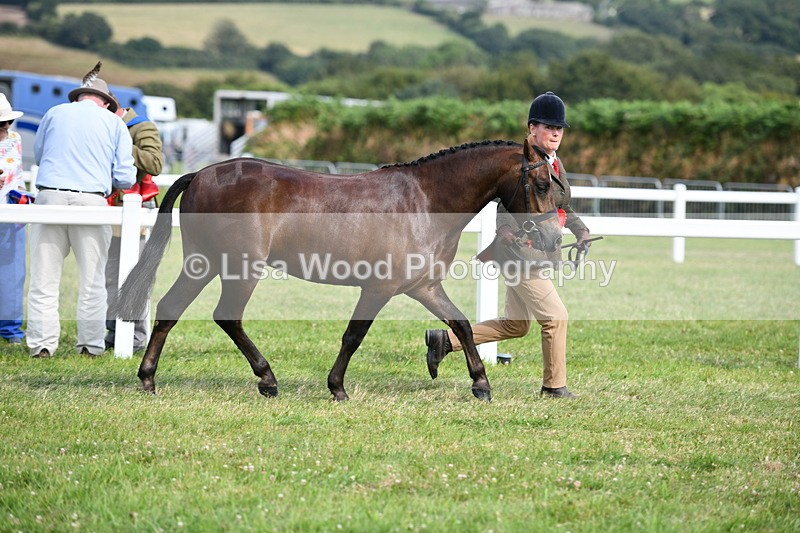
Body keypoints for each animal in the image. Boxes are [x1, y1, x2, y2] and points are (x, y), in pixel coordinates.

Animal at [117, 139, 562, 402]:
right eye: (542, 185)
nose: (553, 239)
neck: (425, 202)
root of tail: (200, 175)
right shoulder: (379, 289)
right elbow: (354, 336)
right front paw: (337, 388)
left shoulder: (424, 286)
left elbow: (462, 324)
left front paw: (481, 385)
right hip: (239, 269)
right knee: (226, 317)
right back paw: (267, 379)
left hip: (202, 263)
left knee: (170, 310)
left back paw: (149, 379)